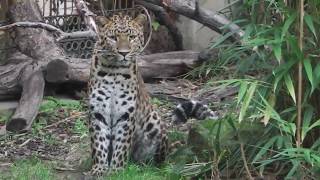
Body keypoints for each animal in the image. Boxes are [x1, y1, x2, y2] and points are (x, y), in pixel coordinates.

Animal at [87, 12, 218, 176]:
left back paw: (143, 166)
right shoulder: (98, 112)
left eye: (131, 37)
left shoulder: (126, 114)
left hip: (154, 122)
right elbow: (99, 144)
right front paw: (99, 169)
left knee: (155, 162)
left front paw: (117, 170)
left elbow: (121, 145)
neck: (114, 70)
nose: (124, 53)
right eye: (113, 37)